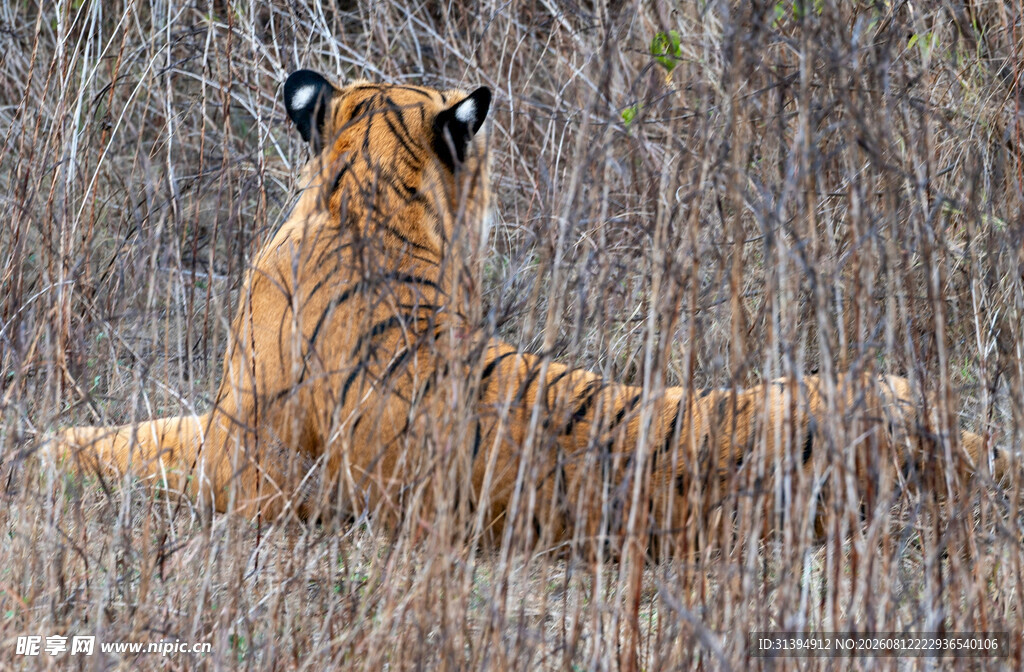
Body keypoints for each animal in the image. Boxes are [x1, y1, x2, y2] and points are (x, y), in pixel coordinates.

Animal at [50, 69, 1008, 553]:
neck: (369, 200)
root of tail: (934, 439)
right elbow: (142, 435)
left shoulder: (240, 464)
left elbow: (139, 441)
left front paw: (47, 446)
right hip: (887, 380)